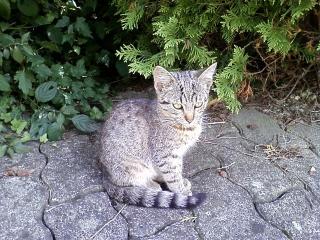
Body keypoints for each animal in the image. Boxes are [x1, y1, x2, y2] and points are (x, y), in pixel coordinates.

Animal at [100, 63, 218, 208]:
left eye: (198, 104)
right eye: (177, 106)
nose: (190, 119)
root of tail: (105, 174)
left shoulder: (176, 155)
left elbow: (177, 170)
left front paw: (181, 182)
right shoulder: (165, 155)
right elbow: (173, 176)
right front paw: (182, 192)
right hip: (131, 166)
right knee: (127, 181)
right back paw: (151, 185)